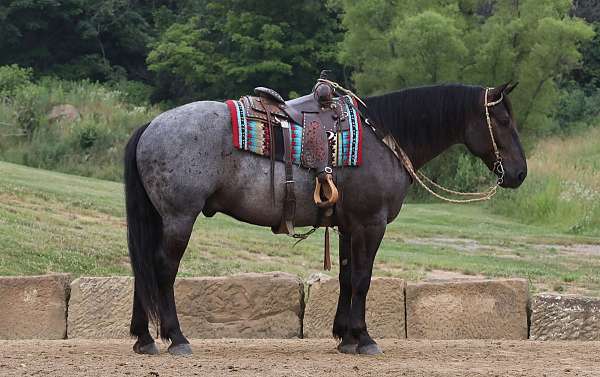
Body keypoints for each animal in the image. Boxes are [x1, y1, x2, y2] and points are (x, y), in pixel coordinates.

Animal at [125, 82, 524, 356]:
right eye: (503, 120)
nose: (519, 173)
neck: (381, 138)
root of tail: (151, 125)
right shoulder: (371, 224)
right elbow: (363, 279)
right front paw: (364, 338)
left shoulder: (350, 227)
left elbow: (347, 278)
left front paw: (345, 337)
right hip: (179, 218)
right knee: (162, 269)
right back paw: (176, 338)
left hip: (160, 219)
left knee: (143, 267)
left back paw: (144, 339)